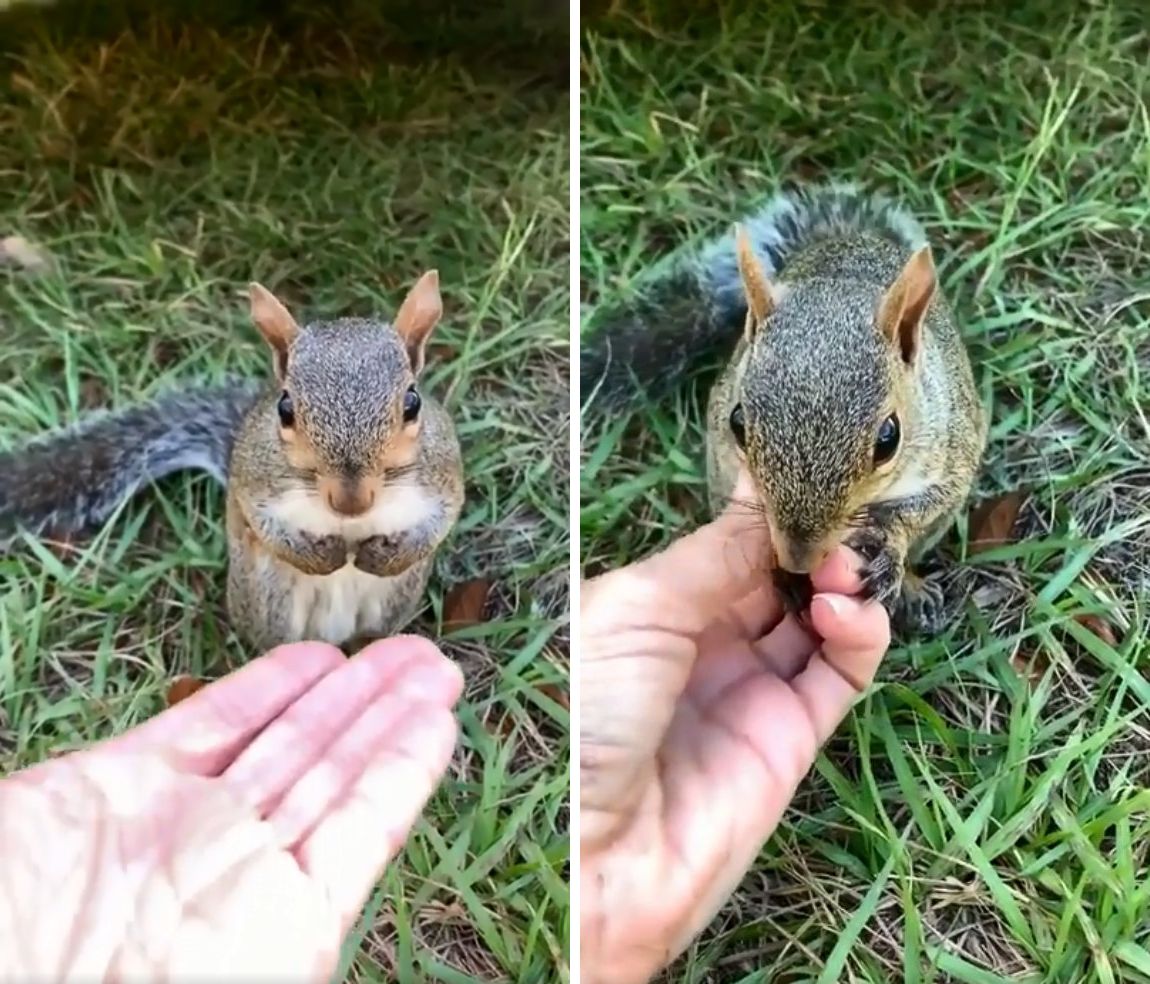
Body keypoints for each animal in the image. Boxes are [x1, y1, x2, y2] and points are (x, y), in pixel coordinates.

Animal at [2, 271, 466, 652]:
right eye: (285, 408)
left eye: (412, 403)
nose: (351, 502)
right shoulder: (253, 480)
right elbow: (262, 524)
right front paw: (321, 557)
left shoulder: (443, 473)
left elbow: (442, 519)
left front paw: (386, 557)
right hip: (269, 603)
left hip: (391, 603)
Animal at [584, 181, 989, 634]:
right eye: (737, 423)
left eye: (889, 439)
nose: (799, 560)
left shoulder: (952, 449)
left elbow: (922, 507)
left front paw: (890, 553)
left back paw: (914, 592)